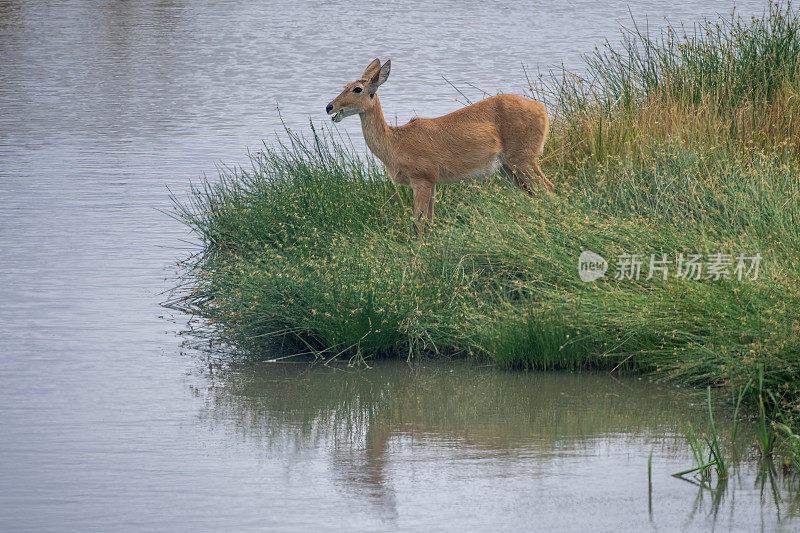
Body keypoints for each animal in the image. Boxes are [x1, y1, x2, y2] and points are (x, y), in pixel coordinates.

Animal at [324, 58, 552, 233]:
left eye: (358, 88)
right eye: (345, 85)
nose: (329, 106)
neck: (395, 143)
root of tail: (542, 109)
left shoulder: (422, 177)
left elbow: (419, 222)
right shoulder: (433, 182)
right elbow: (430, 220)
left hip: (523, 157)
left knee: (547, 188)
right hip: (507, 168)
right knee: (533, 193)